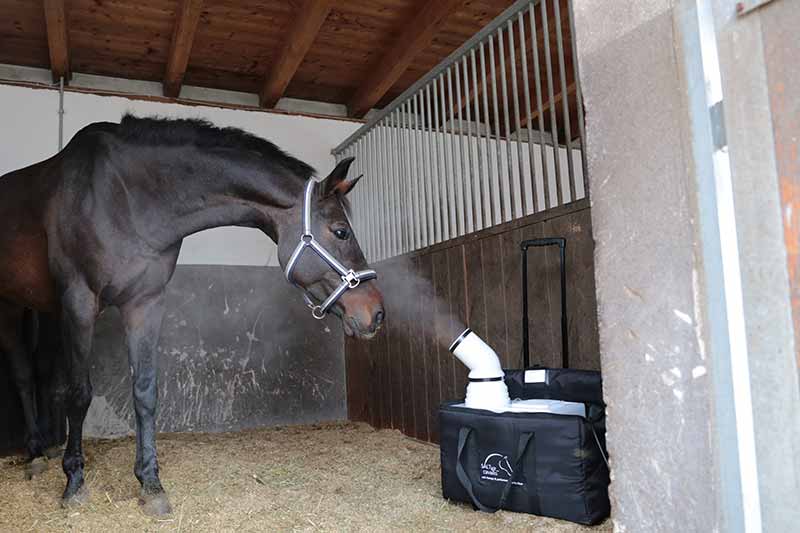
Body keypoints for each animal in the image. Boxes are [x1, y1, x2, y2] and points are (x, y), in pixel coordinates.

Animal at [0, 114, 385, 516]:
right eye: (340, 231)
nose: (375, 313)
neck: (123, 197)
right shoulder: (79, 301)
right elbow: (79, 395)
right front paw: (74, 481)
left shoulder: (145, 303)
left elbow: (145, 392)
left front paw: (150, 484)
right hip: (12, 306)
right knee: (23, 374)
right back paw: (35, 455)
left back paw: (42, 452)